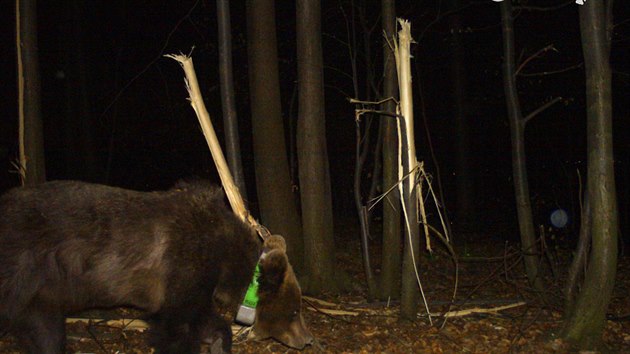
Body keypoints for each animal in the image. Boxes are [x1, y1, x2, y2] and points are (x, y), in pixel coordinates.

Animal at [0, 181, 314, 352]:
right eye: (295, 311)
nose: (307, 339)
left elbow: (205, 320)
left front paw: (218, 343)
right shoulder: (184, 263)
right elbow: (176, 325)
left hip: (41, 290)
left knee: (46, 332)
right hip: (20, 266)